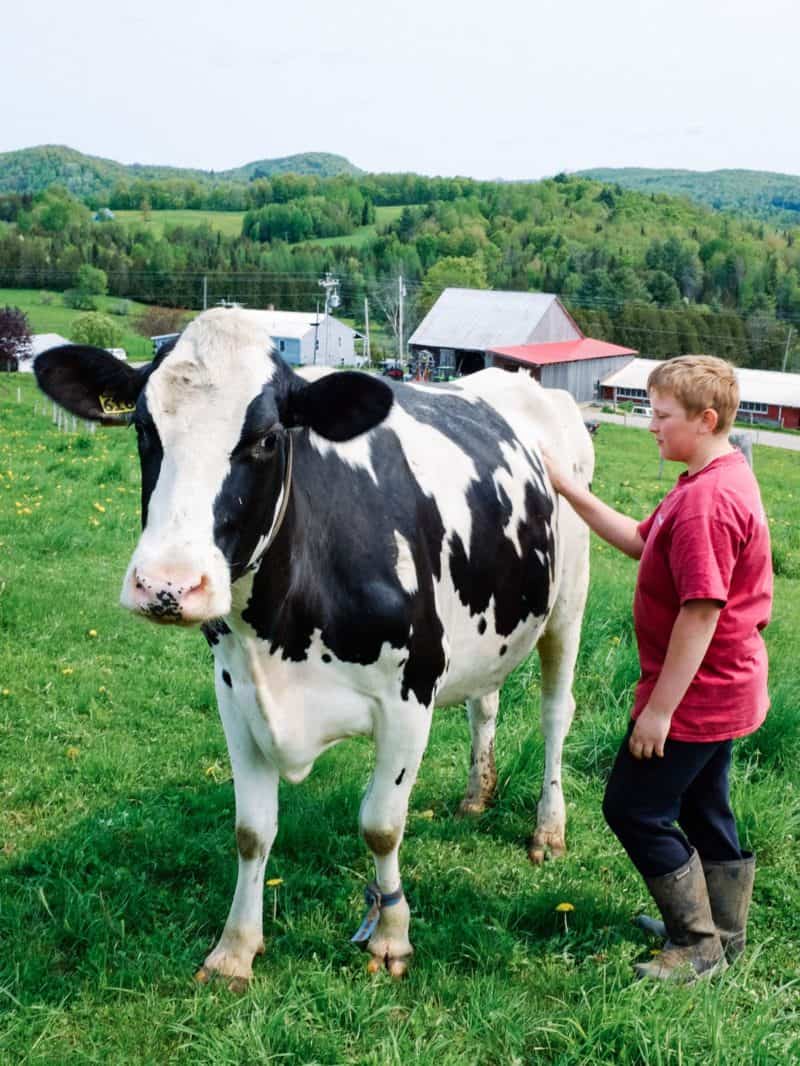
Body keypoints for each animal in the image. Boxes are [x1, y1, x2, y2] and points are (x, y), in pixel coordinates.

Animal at [34, 304, 593, 984]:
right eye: (144, 427)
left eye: (268, 438)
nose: (167, 585)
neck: (279, 637)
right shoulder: (236, 695)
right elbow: (252, 830)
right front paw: (235, 948)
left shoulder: (410, 694)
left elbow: (381, 825)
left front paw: (390, 936)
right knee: (484, 702)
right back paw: (475, 796)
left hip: (568, 603)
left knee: (555, 714)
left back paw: (549, 828)